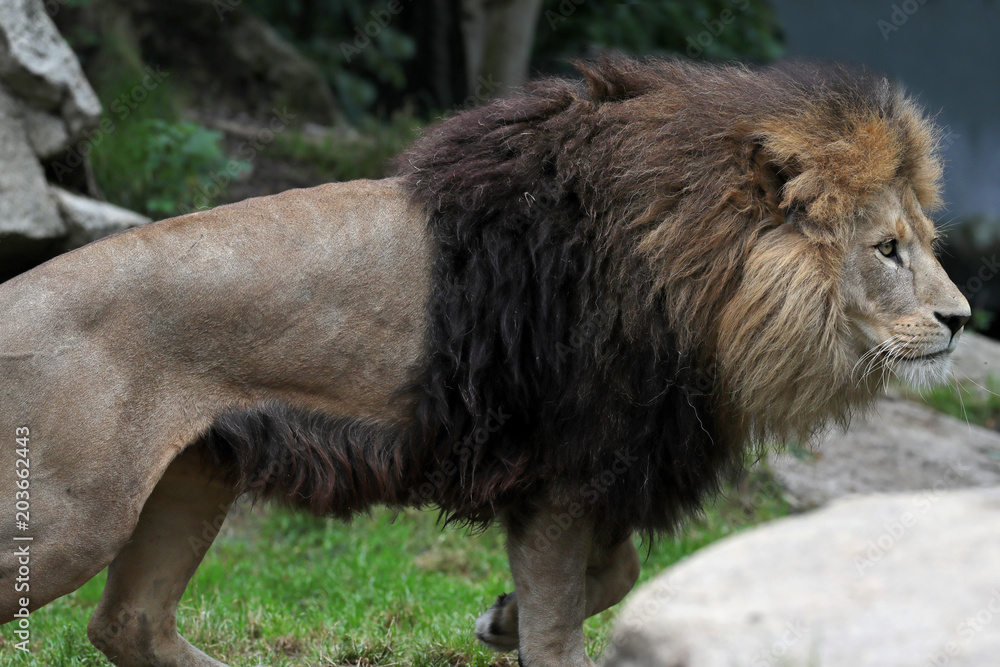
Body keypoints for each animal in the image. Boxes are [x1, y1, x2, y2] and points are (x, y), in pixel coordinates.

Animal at [0, 55, 969, 666]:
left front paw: (496, 619)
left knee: (129, 623)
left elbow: (613, 573)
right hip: (73, 514)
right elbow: (562, 624)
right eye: (886, 249)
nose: (962, 319)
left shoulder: (601, 467)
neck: (700, 282)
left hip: (194, 472)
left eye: (924, 241)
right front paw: (525, 628)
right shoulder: (566, 472)